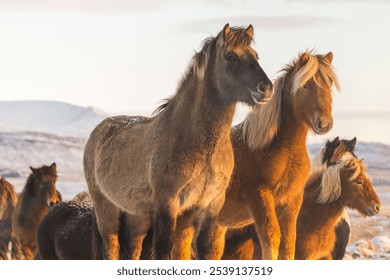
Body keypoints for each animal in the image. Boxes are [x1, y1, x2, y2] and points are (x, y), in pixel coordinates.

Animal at [83, 23, 272, 260]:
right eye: (230, 56)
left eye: (256, 55)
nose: (265, 88)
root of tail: (97, 132)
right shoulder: (168, 203)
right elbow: (164, 250)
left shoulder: (207, 206)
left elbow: (196, 250)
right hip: (105, 209)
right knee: (112, 248)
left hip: (137, 215)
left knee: (133, 248)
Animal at [197, 50, 340, 260]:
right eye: (305, 85)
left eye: (329, 84)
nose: (324, 123)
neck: (283, 148)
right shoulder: (260, 196)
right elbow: (272, 238)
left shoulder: (291, 199)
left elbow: (288, 242)